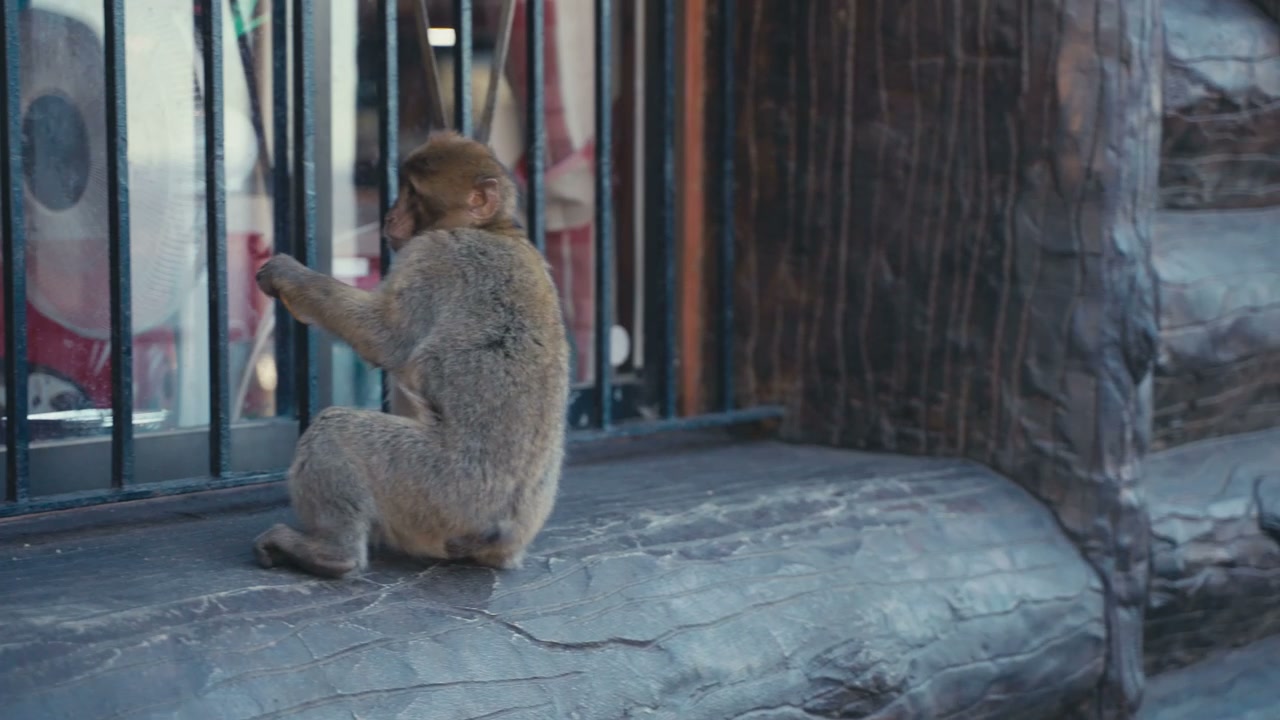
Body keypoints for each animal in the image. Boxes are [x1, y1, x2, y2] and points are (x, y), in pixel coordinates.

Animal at [251, 130, 570, 579]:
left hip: (439, 490)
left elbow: (387, 338)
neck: (495, 229)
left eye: (412, 193)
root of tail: (502, 535)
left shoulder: (433, 254)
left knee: (336, 430)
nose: (388, 216)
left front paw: (290, 276)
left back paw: (331, 552)